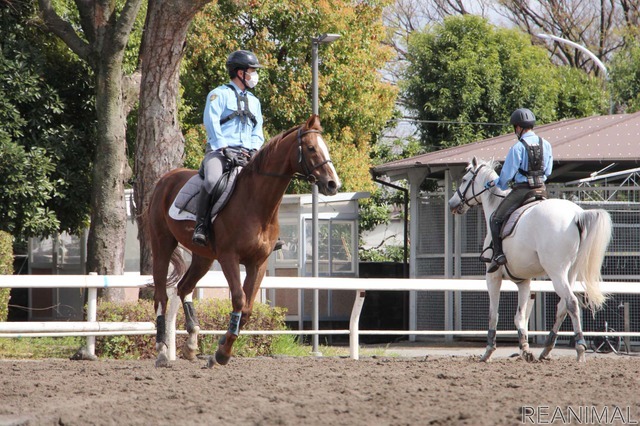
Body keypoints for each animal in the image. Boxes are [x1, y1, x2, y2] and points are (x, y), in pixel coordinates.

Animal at [144, 115, 340, 366]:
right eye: (311, 148)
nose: (333, 184)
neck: (256, 203)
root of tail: (166, 178)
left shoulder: (258, 263)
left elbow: (247, 308)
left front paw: (222, 348)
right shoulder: (229, 258)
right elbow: (238, 299)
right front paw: (222, 353)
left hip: (203, 258)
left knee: (183, 287)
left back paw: (191, 343)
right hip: (162, 244)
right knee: (161, 296)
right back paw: (161, 350)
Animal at [448, 157, 612, 362]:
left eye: (464, 180)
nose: (452, 203)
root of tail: (577, 215)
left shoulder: (492, 278)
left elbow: (494, 314)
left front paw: (488, 351)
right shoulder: (524, 282)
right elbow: (520, 317)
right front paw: (525, 349)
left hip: (557, 272)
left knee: (571, 302)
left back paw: (580, 349)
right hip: (571, 273)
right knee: (562, 306)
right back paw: (546, 349)